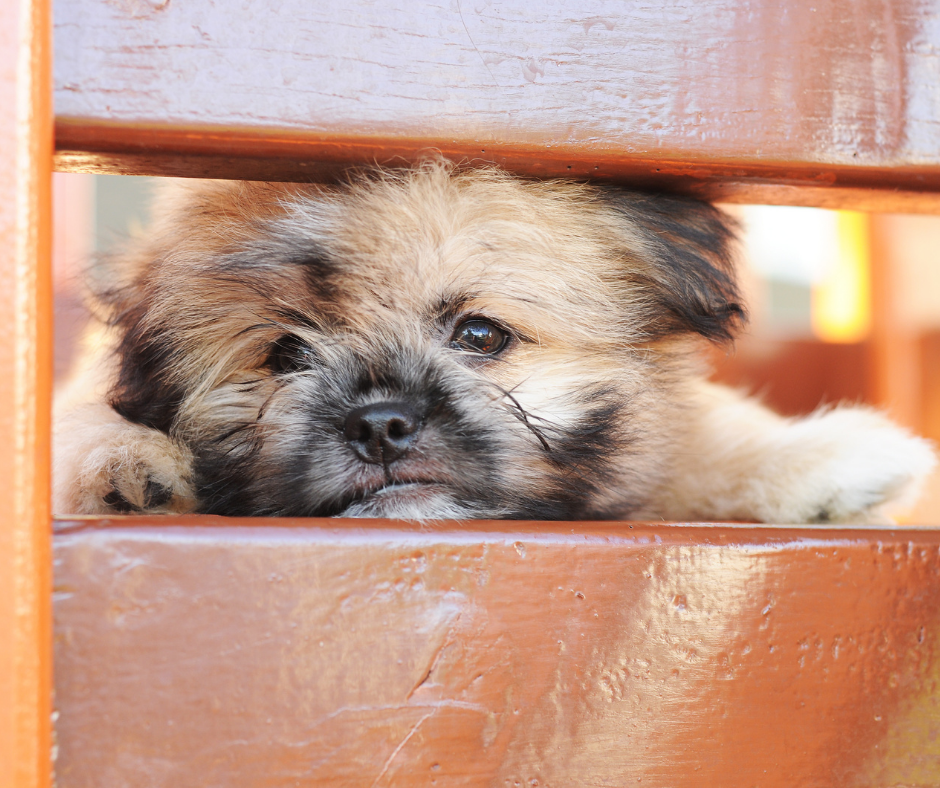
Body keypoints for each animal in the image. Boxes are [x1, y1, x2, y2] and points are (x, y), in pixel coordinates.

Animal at [55, 160, 936, 524]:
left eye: (480, 334)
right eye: (284, 356)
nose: (379, 425)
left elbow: (691, 436)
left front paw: (815, 458)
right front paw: (124, 463)